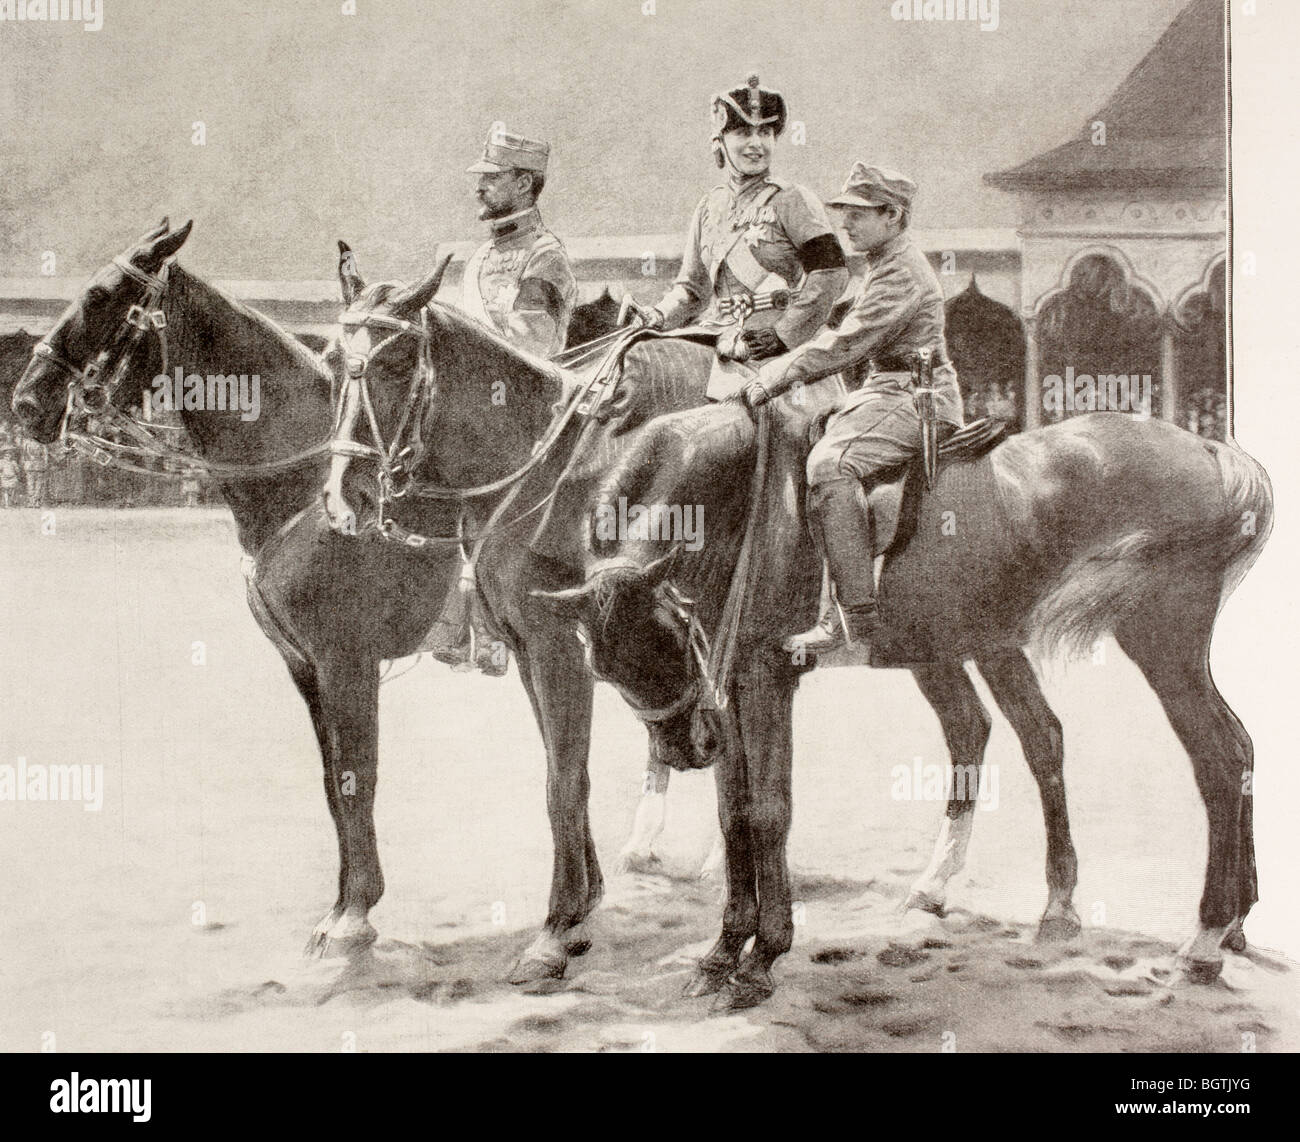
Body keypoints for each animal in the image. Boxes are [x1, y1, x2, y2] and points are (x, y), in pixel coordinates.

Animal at [322, 266, 1268, 1009]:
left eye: (395, 361)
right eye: (333, 362)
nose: (345, 494)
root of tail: (1217, 457)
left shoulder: (687, 665)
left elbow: (652, 796)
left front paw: (599, 936)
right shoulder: (684, 670)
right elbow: (728, 806)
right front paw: (712, 945)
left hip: (1156, 637)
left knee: (1216, 756)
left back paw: (1203, 940)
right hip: (980, 637)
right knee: (1041, 736)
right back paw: (1110, 911)